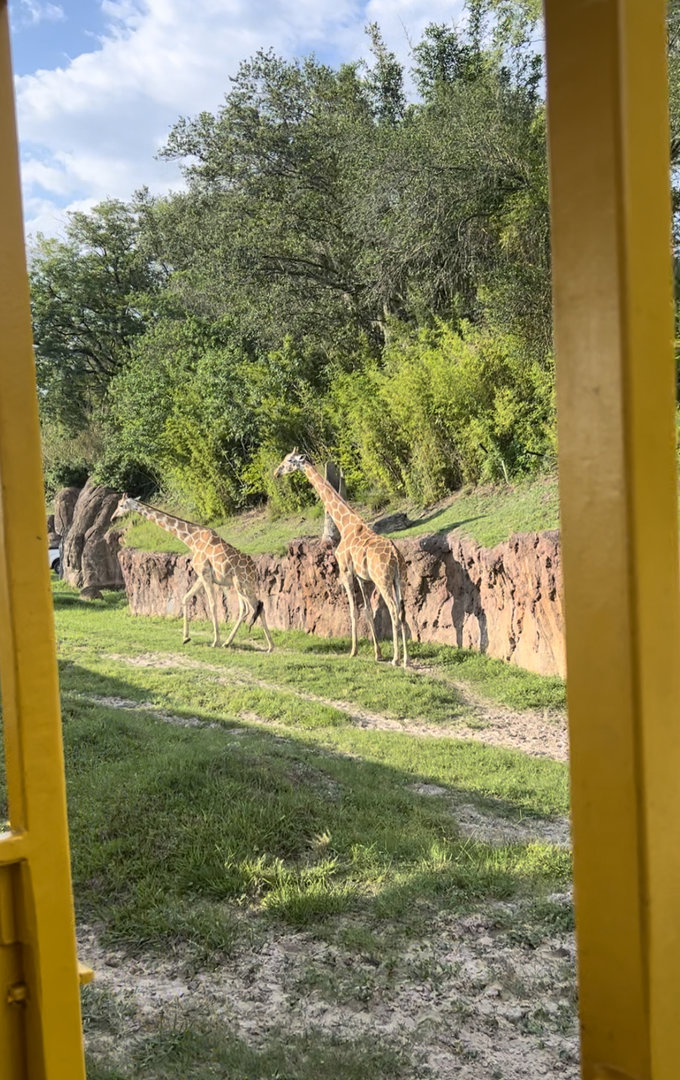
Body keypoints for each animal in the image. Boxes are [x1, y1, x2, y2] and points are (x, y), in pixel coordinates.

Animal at [111, 496, 274, 652]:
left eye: (121, 505)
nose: (113, 518)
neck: (192, 540)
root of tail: (254, 569)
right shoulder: (202, 576)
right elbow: (185, 597)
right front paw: (186, 638)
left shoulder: (205, 574)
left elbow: (212, 604)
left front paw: (214, 641)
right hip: (240, 585)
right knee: (249, 608)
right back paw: (235, 643)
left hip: (242, 584)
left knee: (256, 606)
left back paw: (264, 646)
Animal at [274, 451, 409, 668]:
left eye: (289, 461)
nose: (276, 473)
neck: (345, 524)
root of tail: (396, 556)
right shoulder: (362, 577)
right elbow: (368, 611)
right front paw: (377, 654)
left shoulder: (345, 571)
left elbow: (353, 611)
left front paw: (353, 651)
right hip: (400, 580)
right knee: (403, 612)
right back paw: (406, 659)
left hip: (383, 580)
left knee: (394, 611)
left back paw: (396, 659)